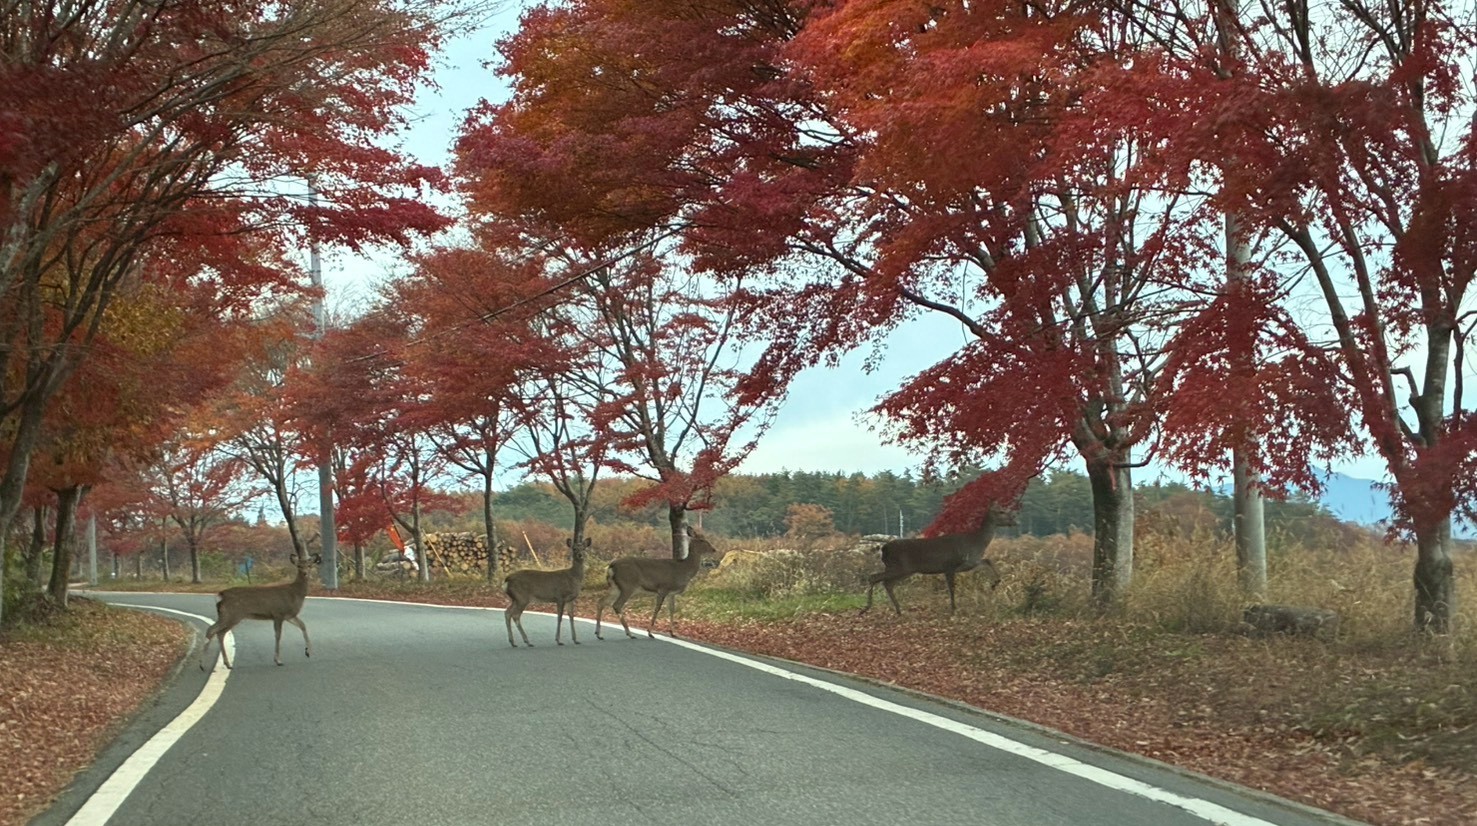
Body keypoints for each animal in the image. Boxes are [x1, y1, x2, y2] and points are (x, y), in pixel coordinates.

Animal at [861, 504, 1012, 616]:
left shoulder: (970, 563)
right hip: (899, 567)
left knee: (886, 583)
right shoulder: (950, 565)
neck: (975, 543)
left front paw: (995, 583)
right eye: (1001, 512)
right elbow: (952, 587)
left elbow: (988, 560)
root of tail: (884, 549)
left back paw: (898, 610)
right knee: (874, 577)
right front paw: (953, 609)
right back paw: (866, 608)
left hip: (905, 570)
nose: (1014, 520)